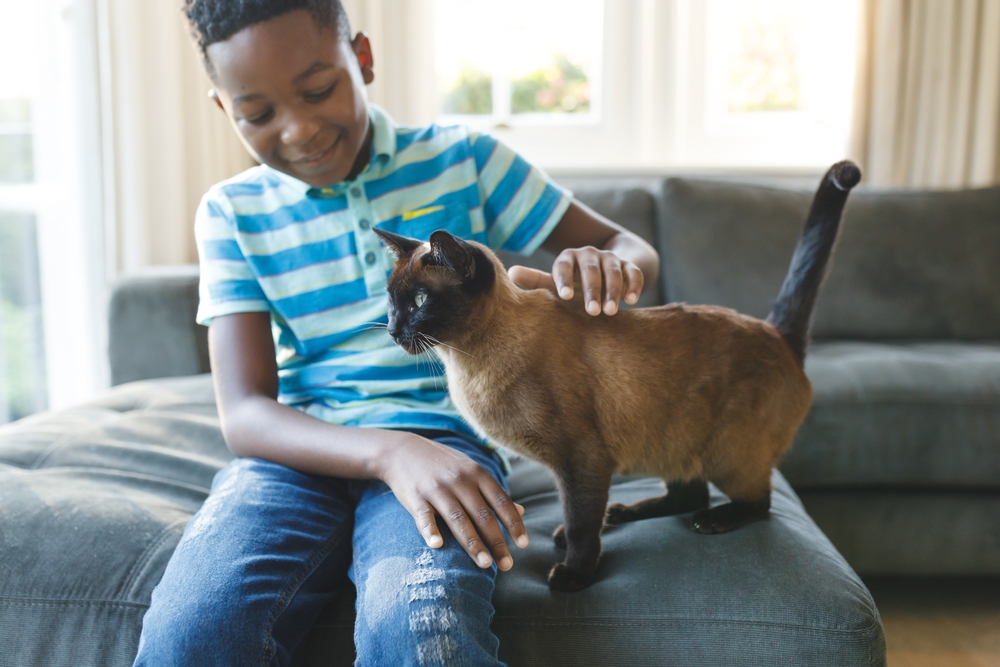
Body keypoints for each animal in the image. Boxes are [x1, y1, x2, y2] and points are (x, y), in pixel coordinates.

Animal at [374, 162, 860, 596]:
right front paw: (573, 545)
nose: (393, 330)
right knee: (689, 495)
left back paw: (709, 520)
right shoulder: (574, 469)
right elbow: (577, 519)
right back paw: (622, 513)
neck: (466, 365)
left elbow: (580, 523)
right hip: (675, 442)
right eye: (391, 301)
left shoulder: (582, 461)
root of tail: (777, 332)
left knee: (754, 503)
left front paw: (574, 574)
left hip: (726, 455)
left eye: (420, 301)